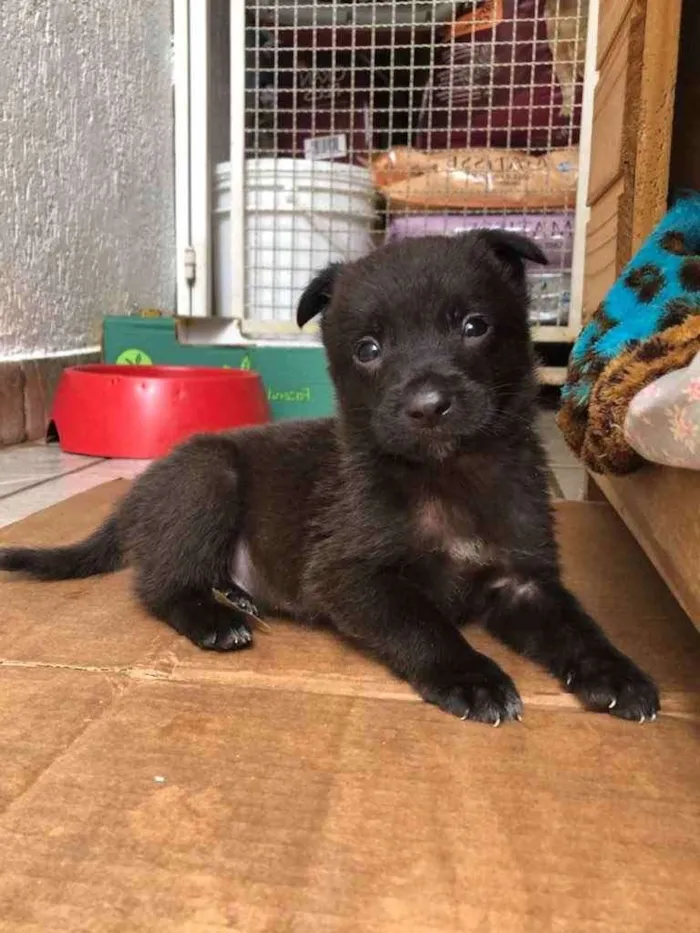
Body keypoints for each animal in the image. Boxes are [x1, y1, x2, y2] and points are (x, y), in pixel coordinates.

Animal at [1, 231, 656, 720]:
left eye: (474, 326)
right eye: (368, 349)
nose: (428, 406)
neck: (445, 475)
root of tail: (137, 497)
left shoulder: (523, 579)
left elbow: (577, 625)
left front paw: (615, 672)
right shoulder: (351, 575)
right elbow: (423, 622)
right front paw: (471, 675)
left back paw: (235, 594)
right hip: (208, 476)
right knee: (159, 585)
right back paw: (215, 617)